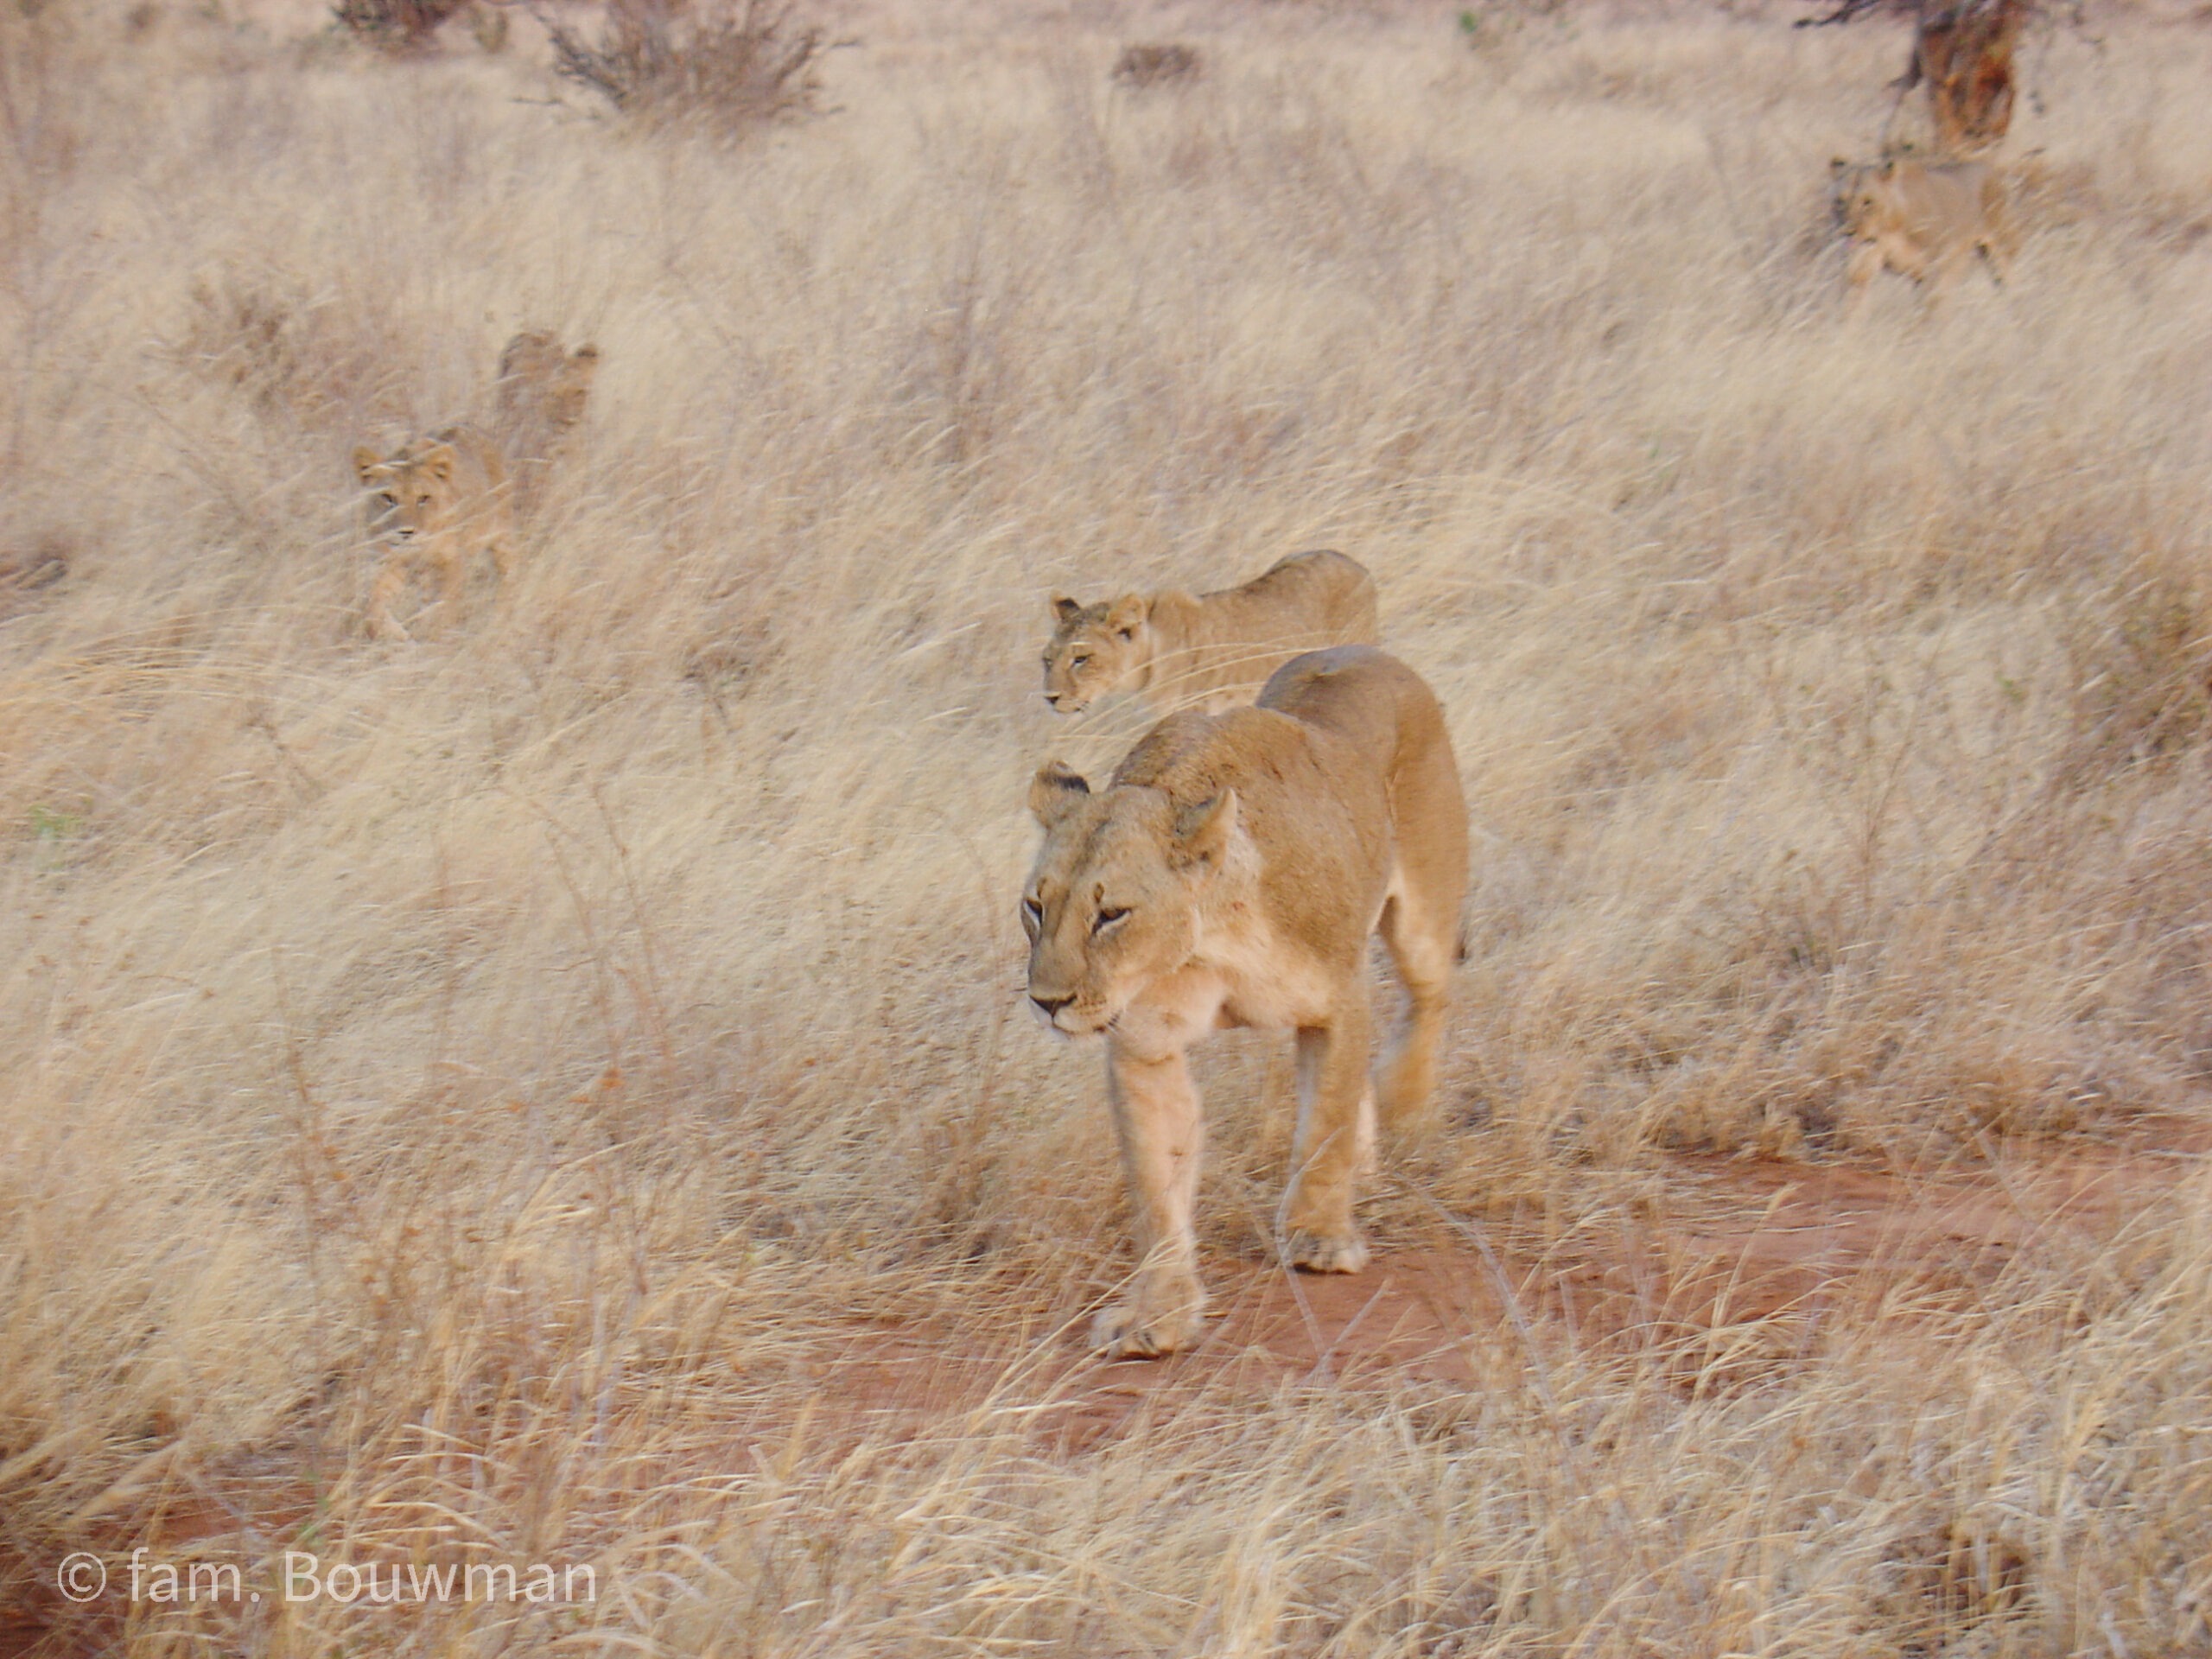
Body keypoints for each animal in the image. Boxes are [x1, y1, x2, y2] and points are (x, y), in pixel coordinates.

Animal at [349, 422, 512, 641]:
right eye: (388, 498)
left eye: (423, 498)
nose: (406, 532)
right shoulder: (386, 563)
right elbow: (372, 607)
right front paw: (397, 634)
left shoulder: (450, 561)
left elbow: (445, 607)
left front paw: (435, 638)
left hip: (502, 537)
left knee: (508, 579)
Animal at [1021, 641, 1468, 1353]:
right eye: (1036, 907)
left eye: (1111, 915)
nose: (1046, 1001)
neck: (1206, 940)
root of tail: (1364, 650)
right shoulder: (1144, 1044)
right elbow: (1158, 1180)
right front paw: (1158, 1314)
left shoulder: (1338, 996)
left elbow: (1326, 1123)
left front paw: (1319, 1239)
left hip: (1424, 916)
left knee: (1428, 1000)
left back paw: (1406, 1100)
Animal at [1831, 156, 2025, 296]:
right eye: (1840, 201)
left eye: (1868, 202)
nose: (1849, 232)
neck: (1889, 227)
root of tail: (1992, 169)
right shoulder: (1860, 268)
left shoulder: (1935, 269)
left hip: (2001, 247)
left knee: (2008, 278)